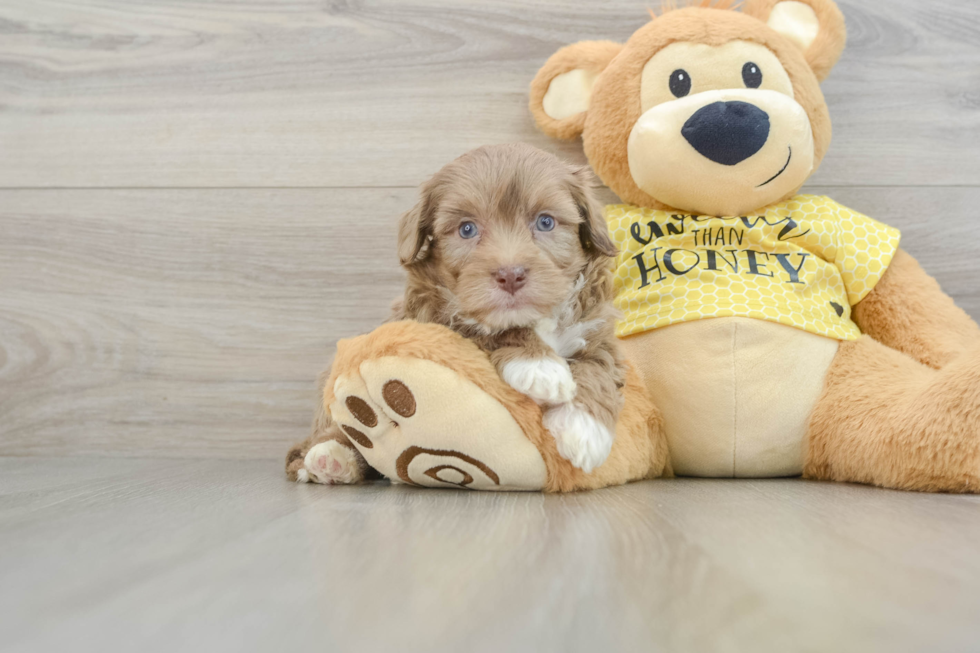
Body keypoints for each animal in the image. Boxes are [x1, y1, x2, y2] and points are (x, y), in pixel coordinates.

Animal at [292, 145, 628, 486]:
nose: (510, 275)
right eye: (467, 229)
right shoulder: (436, 316)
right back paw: (331, 458)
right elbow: (488, 327)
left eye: (545, 222)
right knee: (340, 433)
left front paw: (585, 429)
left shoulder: (597, 329)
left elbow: (598, 367)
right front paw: (540, 366)